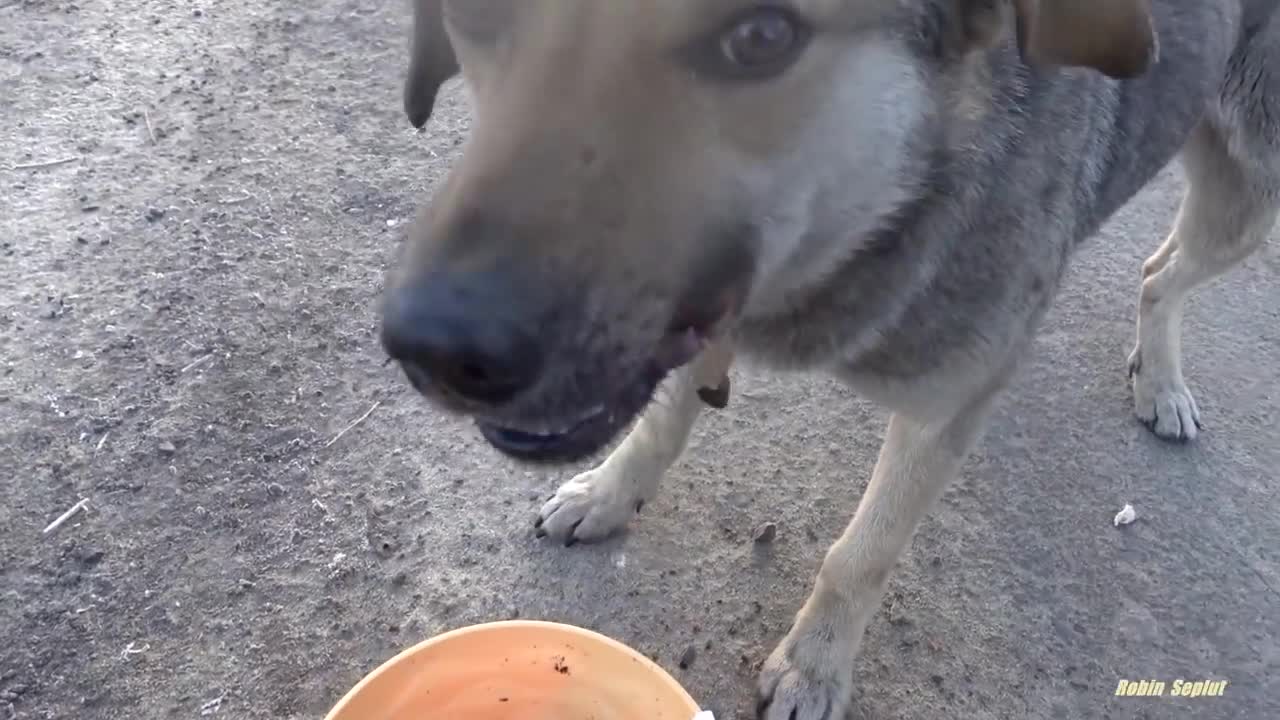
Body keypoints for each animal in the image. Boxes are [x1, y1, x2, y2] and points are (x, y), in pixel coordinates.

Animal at [378, 1, 1280, 712]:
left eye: (761, 36)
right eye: (477, 10)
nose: (435, 347)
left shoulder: (945, 407)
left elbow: (862, 554)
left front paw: (815, 667)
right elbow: (661, 424)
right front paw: (610, 492)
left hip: (1248, 198)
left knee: (1163, 273)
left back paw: (1163, 383)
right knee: (1156, 271)